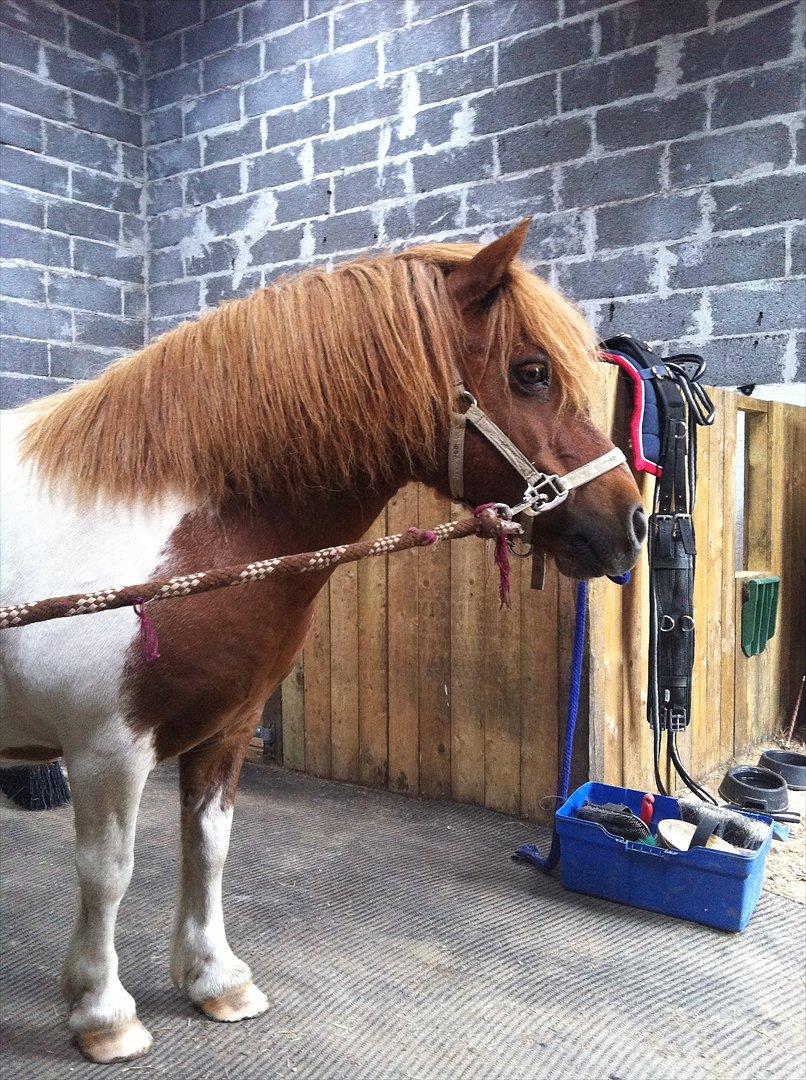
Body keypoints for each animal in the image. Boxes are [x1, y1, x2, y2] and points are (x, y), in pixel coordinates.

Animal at [0, 223, 639, 1067]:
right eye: (531, 372)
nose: (632, 524)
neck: (169, 527)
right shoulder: (107, 748)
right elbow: (109, 872)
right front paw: (103, 1013)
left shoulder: (227, 729)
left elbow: (208, 847)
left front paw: (215, 979)